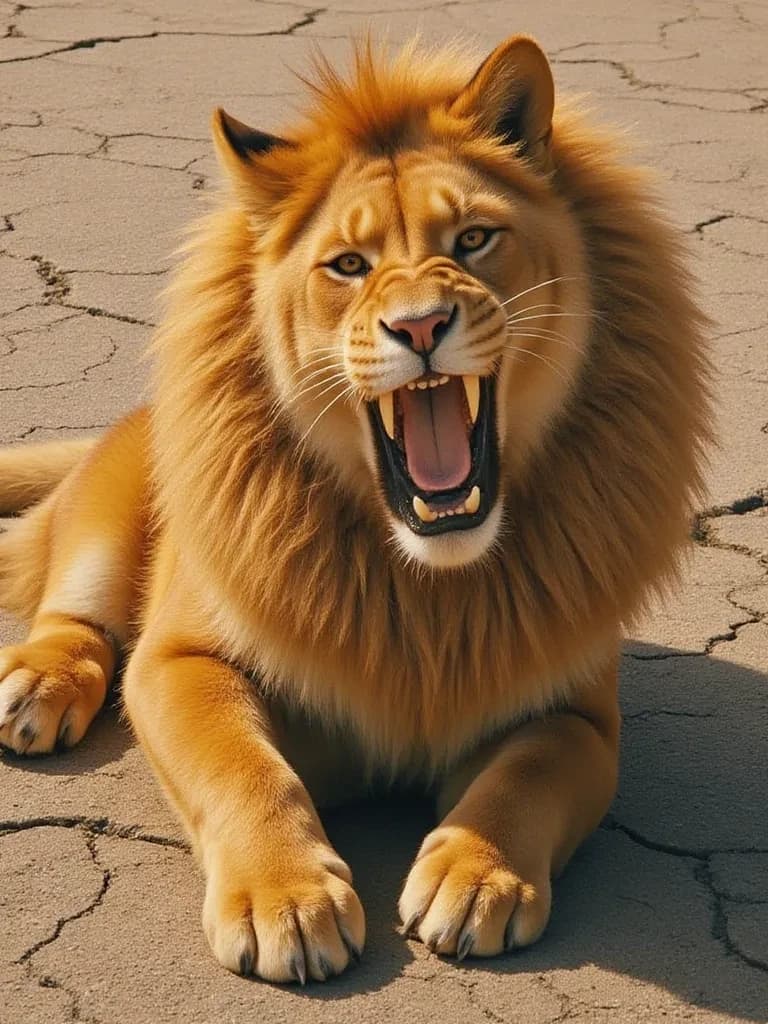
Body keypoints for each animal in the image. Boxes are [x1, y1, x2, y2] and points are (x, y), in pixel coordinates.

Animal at [0, 35, 711, 983]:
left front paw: (477, 877)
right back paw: (39, 689)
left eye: (474, 239)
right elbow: (241, 764)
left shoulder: (579, 713)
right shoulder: (179, 659)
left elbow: (532, 770)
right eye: (349, 265)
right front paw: (287, 899)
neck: (422, 580)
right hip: (109, 516)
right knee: (73, 618)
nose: (420, 326)